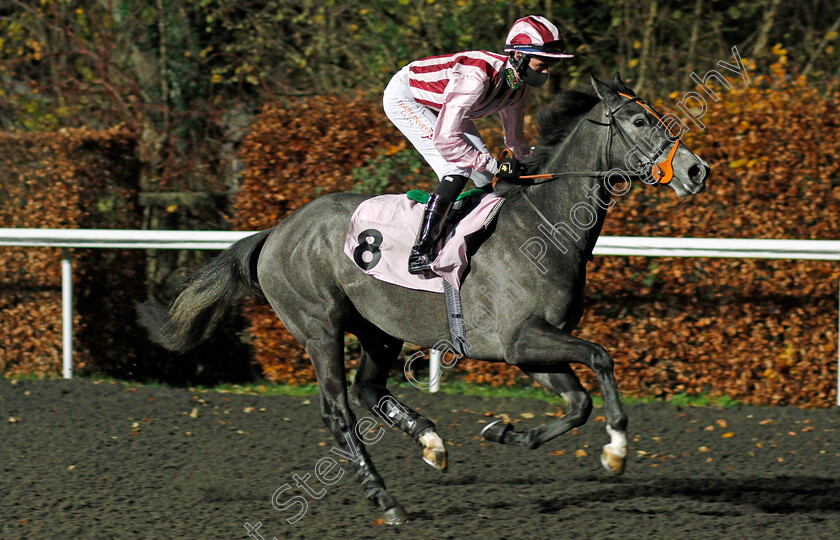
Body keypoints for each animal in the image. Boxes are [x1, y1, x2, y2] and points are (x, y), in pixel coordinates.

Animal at [138, 74, 708, 524]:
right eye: (638, 119)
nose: (696, 171)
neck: (544, 227)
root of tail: (276, 231)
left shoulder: (527, 350)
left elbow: (578, 403)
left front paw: (503, 432)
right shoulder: (522, 340)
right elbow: (602, 357)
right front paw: (617, 451)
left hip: (378, 328)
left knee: (368, 388)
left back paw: (431, 442)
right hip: (319, 326)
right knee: (338, 412)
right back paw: (386, 500)